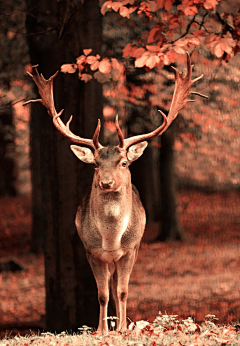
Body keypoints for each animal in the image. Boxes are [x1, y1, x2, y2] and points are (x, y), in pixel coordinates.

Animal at [24, 52, 208, 334]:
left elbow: (122, 291)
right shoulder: (91, 251)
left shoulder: (131, 249)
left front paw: (121, 328)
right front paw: (102, 330)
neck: (111, 240)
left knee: (118, 287)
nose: (106, 182)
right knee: (108, 286)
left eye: (123, 163)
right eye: (95, 164)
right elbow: (102, 294)